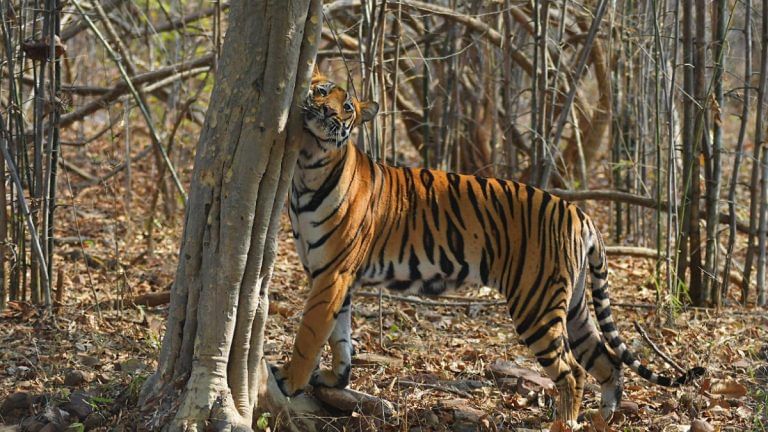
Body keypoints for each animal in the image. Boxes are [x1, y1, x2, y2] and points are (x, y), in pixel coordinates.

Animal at [272, 70, 704, 426]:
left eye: (346, 106)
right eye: (322, 90)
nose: (325, 110)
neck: (308, 164)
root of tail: (579, 212)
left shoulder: (332, 274)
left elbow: (310, 334)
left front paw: (290, 380)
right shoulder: (335, 276)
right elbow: (339, 337)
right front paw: (335, 377)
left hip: (536, 304)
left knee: (572, 372)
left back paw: (563, 424)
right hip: (576, 307)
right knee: (607, 362)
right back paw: (601, 421)